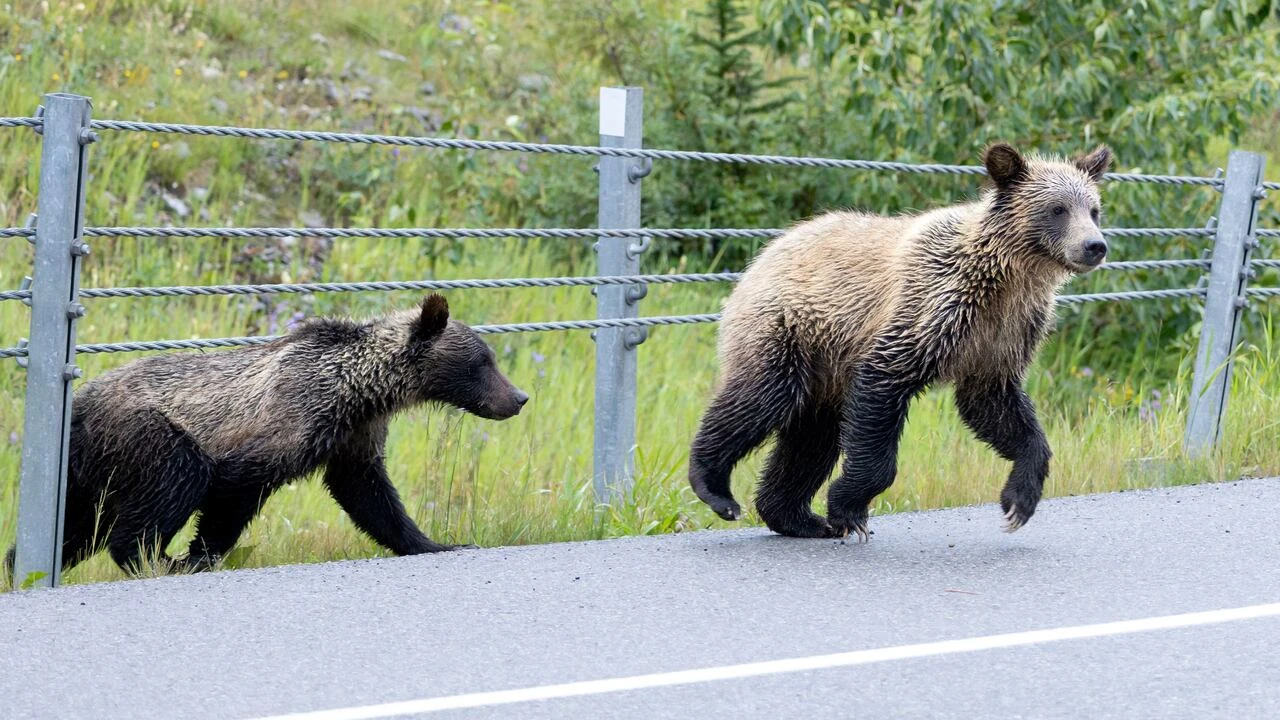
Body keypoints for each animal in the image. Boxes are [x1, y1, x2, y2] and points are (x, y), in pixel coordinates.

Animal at [5, 293, 527, 578]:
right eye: (483, 362)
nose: (519, 397)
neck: (360, 391)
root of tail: (77, 403)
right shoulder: (287, 421)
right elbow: (232, 491)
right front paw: (198, 556)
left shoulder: (353, 437)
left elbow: (369, 495)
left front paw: (438, 542)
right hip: (144, 435)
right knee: (172, 482)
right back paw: (151, 558)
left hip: (90, 467)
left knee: (77, 522)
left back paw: (20, 564)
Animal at [688, 142, 1112, 541]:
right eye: (1057, 209)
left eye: (1093, 210)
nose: (1095, 246)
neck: (1007, 277)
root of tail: (764, 254)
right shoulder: (929, 311)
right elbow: (883, 391)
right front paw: (848, 510)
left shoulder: (1002, 335)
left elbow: (998, 408)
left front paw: (1017, 503)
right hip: (790, 330)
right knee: (762, 399)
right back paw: (716, 489)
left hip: (827, 369)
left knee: (812, 437)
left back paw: (798, 517)